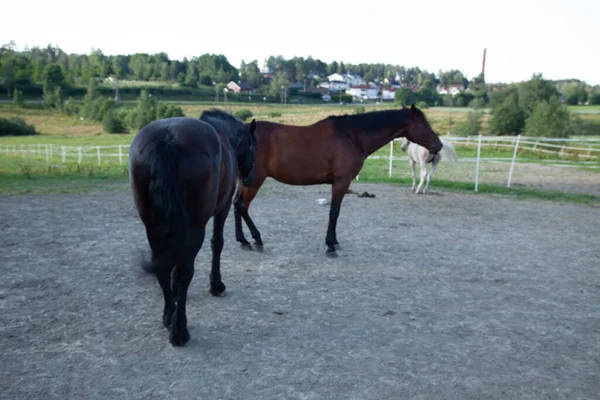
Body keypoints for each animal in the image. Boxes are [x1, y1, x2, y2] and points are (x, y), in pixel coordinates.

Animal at [129, 110, 255, 346]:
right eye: (253, 146)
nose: (250, 178)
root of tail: (168, 139)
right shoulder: (222, 209)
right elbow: (217, 244)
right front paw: (216, 285)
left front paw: (174, 287)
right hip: (196, 225)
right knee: (187, 268)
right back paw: (179, 330)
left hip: (152, 224)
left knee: (162, 265)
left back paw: (169, 315)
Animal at [232, 104, 442, 258]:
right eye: (424, 125)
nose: (438, 145)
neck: (352, 136)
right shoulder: (341, 181)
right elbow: (334, 213)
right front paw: (330, 245)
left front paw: (334, 242)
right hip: (255, 180)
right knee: (242, 205)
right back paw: (256, 239)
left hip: (246, 179)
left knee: (236, 204)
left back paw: (243, 240)